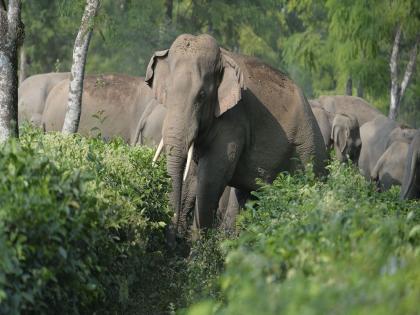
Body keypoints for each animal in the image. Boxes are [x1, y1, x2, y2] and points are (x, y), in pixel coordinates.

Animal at [146, 34, 326, 232]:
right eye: (166, 92)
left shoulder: (234, 121)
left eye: (202, 95)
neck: (223, 57)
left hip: (308, 153)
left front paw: (198, 240)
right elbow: (192, 177)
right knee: (247, 198)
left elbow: (210, 179)